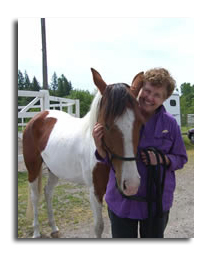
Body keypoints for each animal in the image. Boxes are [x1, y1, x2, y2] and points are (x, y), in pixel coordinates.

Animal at [23, 68, 146, 238]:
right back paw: (36, 232)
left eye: (140, 123)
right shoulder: (95, 190)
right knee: (35, 197)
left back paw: (54, 227)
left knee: (48, 192)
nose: (132, 185)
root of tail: (38, 116)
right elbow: (98, 227)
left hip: (55, 169)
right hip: (33, 167)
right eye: (106, 125)